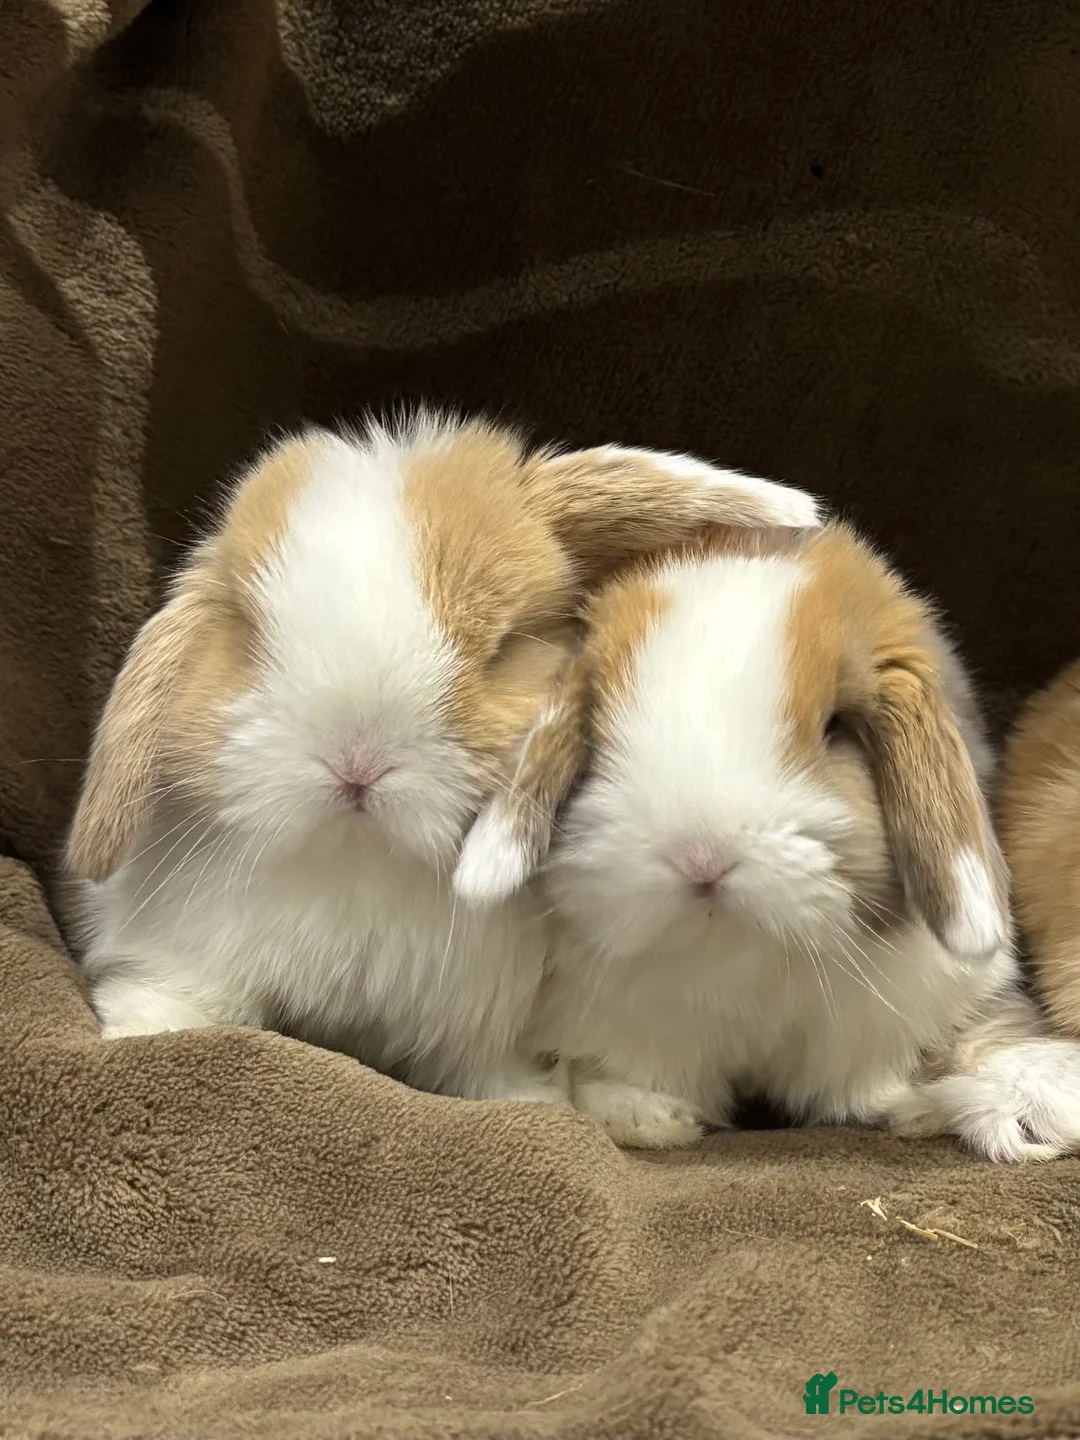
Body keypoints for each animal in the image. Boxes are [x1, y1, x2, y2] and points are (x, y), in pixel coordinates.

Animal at [65, 410, 823, 1104]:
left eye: (504, 648)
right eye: (250, 636)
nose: (356, 760)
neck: (360, 872)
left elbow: (485, 1068)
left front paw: (531, 1103)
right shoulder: (188, 946)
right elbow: (189, 996)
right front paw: (146, 1032)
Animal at [453, 521, 1080, 1158]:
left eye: (835, 727)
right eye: (598, 730)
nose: (702, 855)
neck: (743, 966)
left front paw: (1016, 1111)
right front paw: (648, 1117)